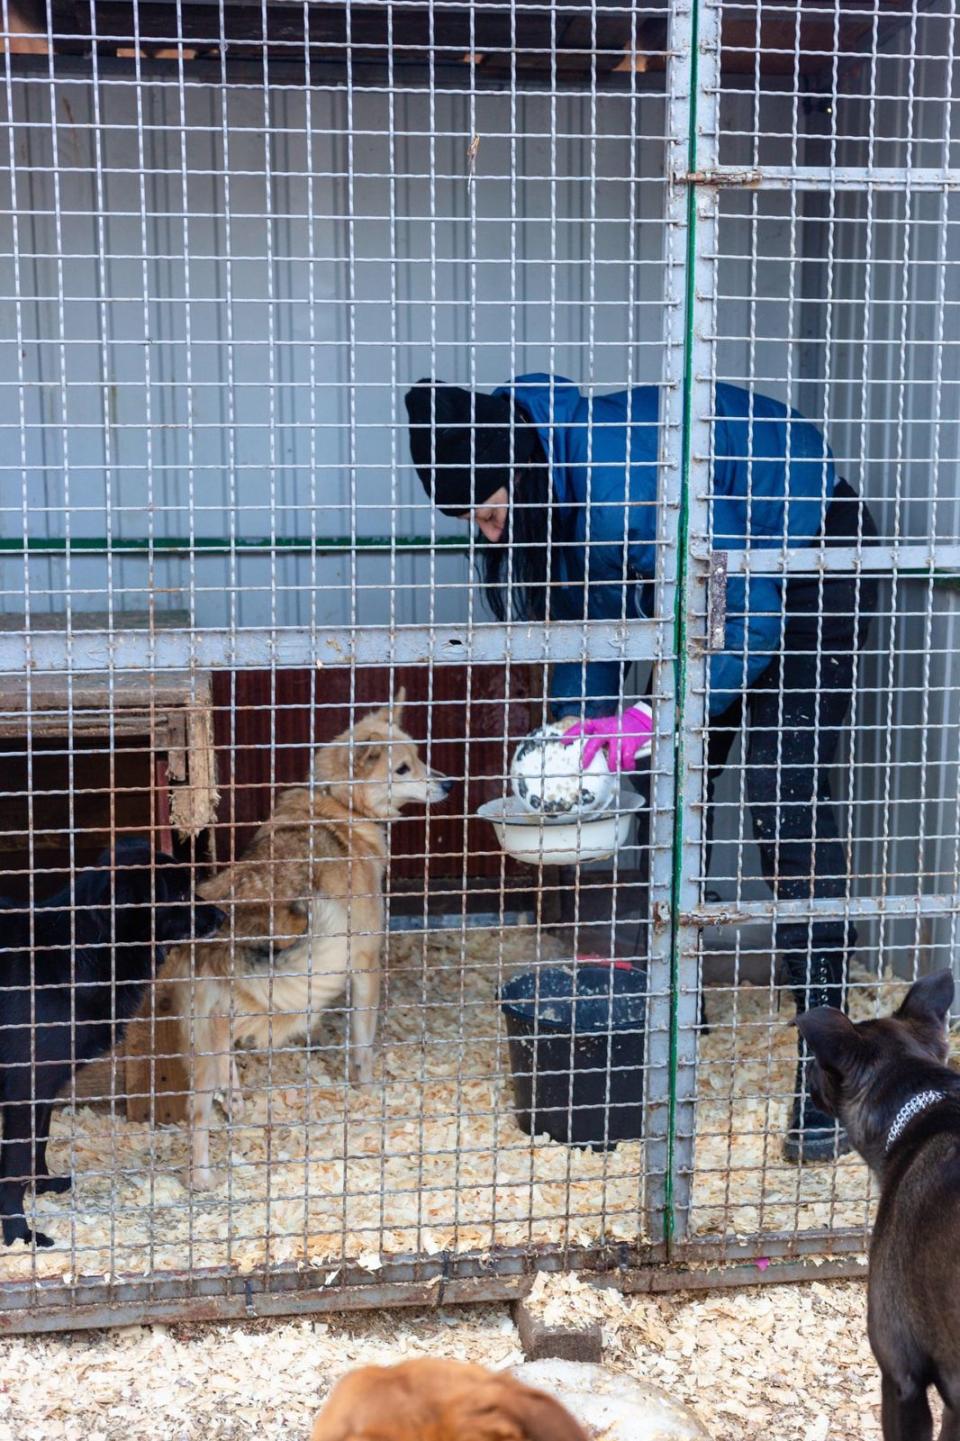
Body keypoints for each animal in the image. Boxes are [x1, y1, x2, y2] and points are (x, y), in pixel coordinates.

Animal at [0, 841, 220, 1245]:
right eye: (181, 894)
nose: (222, 916)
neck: (80, 954)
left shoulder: (46, 1085)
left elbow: (40, 1140)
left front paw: (42, 1185)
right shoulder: (25, 1085)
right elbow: (16, 1163)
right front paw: (18, 1233)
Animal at [162, 691, 449, 1187]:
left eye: (419, 757)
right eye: (402, 769)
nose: (448, 785)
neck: (336, 803)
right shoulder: (365, 963)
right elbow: (363, 1045)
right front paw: (366, 1091)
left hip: (210, 1029)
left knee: (217, 1077)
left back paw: (233, 1105)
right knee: (196, 1113)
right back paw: (202, 1179)